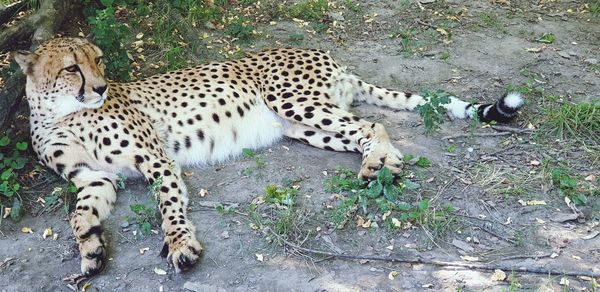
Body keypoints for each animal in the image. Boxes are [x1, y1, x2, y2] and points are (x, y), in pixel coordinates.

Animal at [11, 37, 524, 276]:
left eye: (98, 60)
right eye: (72, 67)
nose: (100, 87)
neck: (62, 113)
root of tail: (323, 52)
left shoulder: (156, 161)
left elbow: (169, 208)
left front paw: (180, 245)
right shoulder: (93, 179)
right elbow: (79, 215)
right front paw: (91, 248)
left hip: (293, 100)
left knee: (374, 124)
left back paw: (386, 163)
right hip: (302, 127)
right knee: (361, 131)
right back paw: (375, 163)